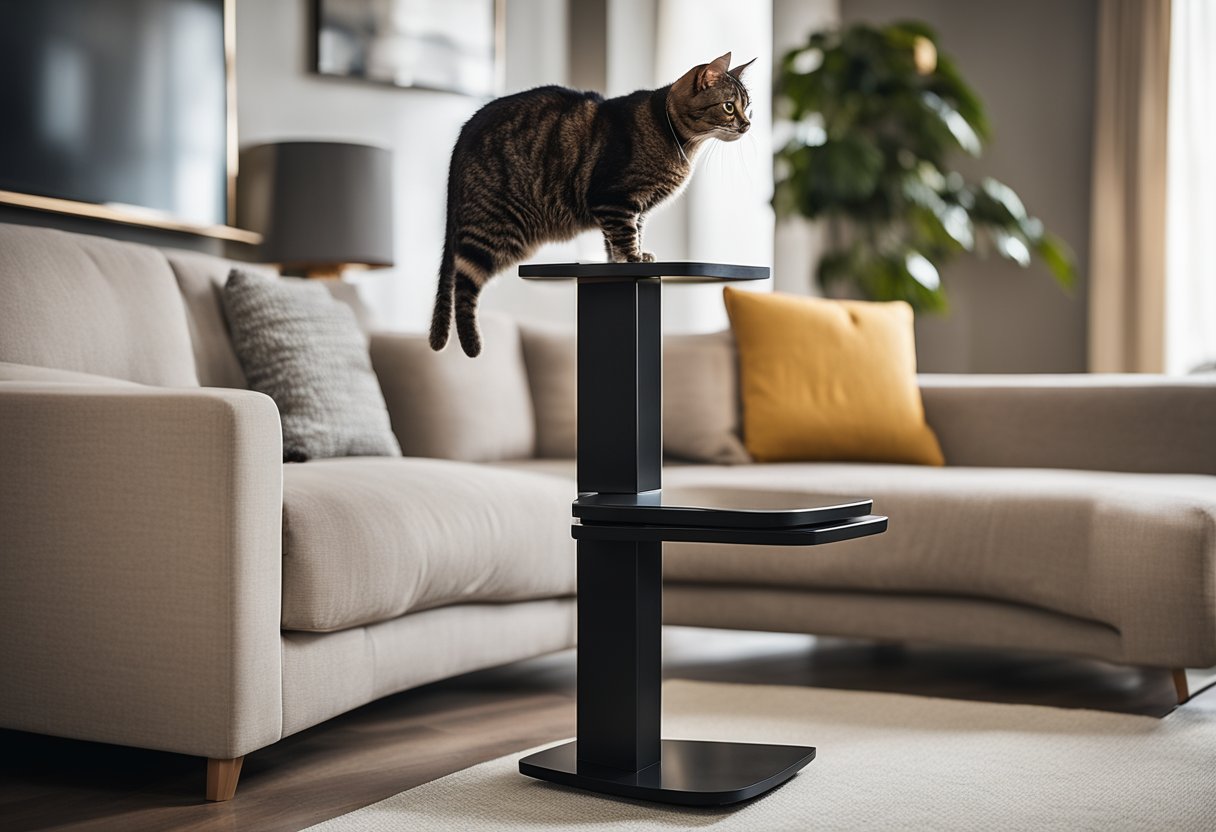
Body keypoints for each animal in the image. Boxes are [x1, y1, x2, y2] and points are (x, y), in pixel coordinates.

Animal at [428, 48, 749, 355]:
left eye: (748, 105)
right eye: (729, 106)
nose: (747, 124)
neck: (680, 143)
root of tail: (463, 135)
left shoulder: (634, 210)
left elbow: (625, 237)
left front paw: (630, 258)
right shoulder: (614, 200)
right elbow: (625, 236)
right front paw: (632, 258)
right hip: (496, 229)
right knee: (463, 284)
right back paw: (472, 345)